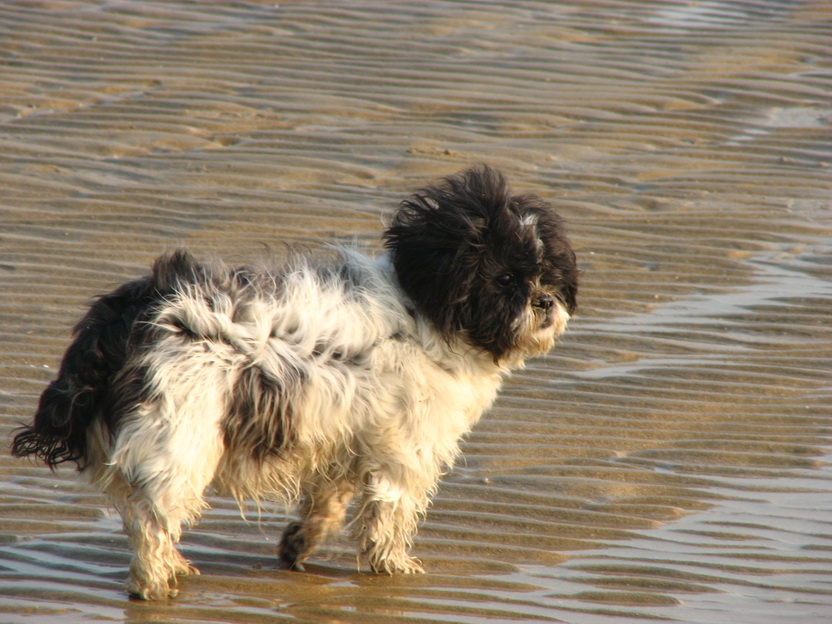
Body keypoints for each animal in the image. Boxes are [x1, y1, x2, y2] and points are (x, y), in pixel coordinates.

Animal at [9, 166, 580, 600]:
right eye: (504, 279)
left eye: (550, 274)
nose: (545, 301)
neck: (424, 313)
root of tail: (123, 320)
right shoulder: (404, 453)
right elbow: (389, 516)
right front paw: (392, 568)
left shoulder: (346, 441)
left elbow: (326, 505)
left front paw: (298, 546)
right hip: (178, 440)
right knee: (151, 521)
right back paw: (155, 585)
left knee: (139, 515)